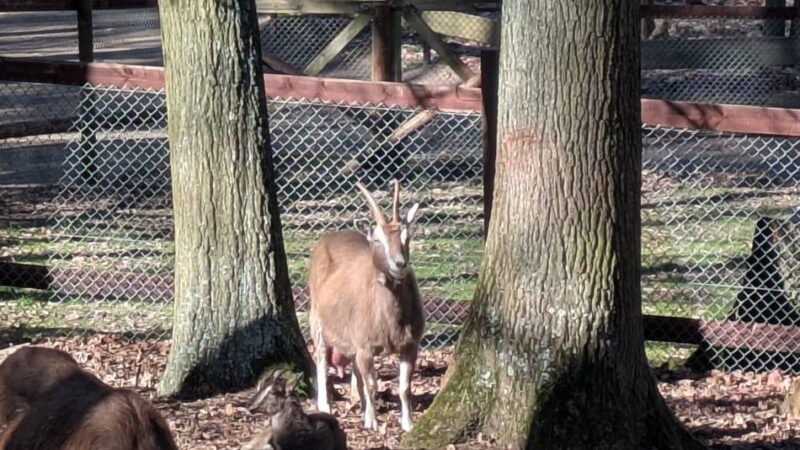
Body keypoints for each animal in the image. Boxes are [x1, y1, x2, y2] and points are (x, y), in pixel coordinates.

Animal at [309, 180, 425, 432]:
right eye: (377, 240)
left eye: (407, 236)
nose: (399, 264)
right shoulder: (365, 346)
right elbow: (372, 384)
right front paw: (372, 423)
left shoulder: (410, 344)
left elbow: (404, 387)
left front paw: (408, 424)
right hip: (317, 321)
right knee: (321, 361)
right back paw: (326, 406)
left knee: (355, 372)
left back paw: (359, 404)